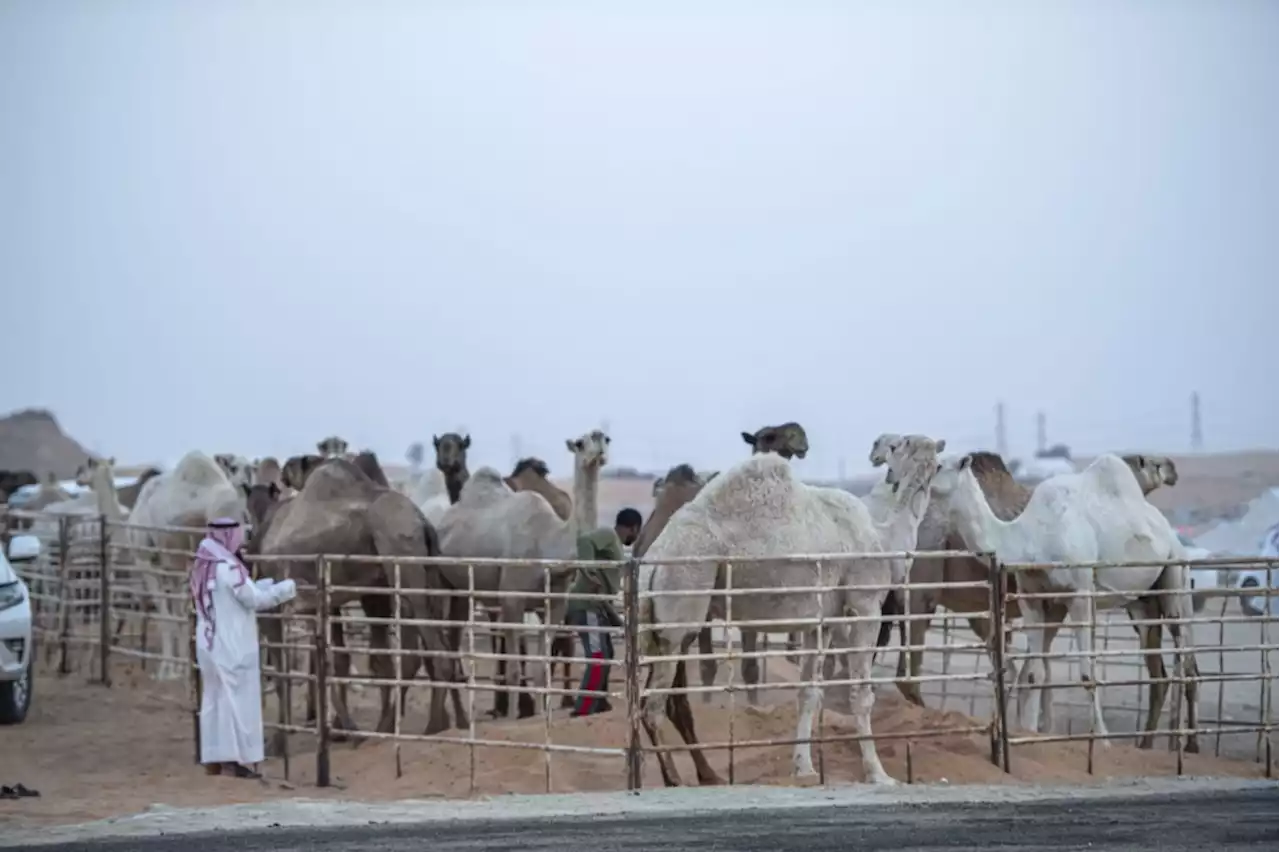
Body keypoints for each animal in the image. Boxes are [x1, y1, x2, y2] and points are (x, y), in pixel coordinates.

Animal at [247, 450, 468, 752]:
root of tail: (423, 521)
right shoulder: (325, 599)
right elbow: (335, 660)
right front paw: (343, 731)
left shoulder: (286, 603)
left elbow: (290, 668)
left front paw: (283, 741)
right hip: (423, 573)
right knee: (428, 650)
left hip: (401, 561)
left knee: (433, 652)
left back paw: (416, 729)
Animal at [435, 427, 609, 711]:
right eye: (580, 443)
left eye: (607, 439)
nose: (599, 445)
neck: (548, 543)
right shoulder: (511, 599)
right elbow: (515, 670)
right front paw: (514, 714)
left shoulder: (554, 605)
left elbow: (541, 669)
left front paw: (540, 713)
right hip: (442, 582)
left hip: (463, 592)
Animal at [637, 434, 947, 788]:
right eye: (900, 446)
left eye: (934, 461)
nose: (930, 470)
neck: (883, 537)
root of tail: (651, 562)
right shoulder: (865, 604)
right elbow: (861, 694)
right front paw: (878, 774)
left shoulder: (820, 622)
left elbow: (808, 693)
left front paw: (804, 768)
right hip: (682, 602)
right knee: (653, 704)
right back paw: (676, 779)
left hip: (660, 625)